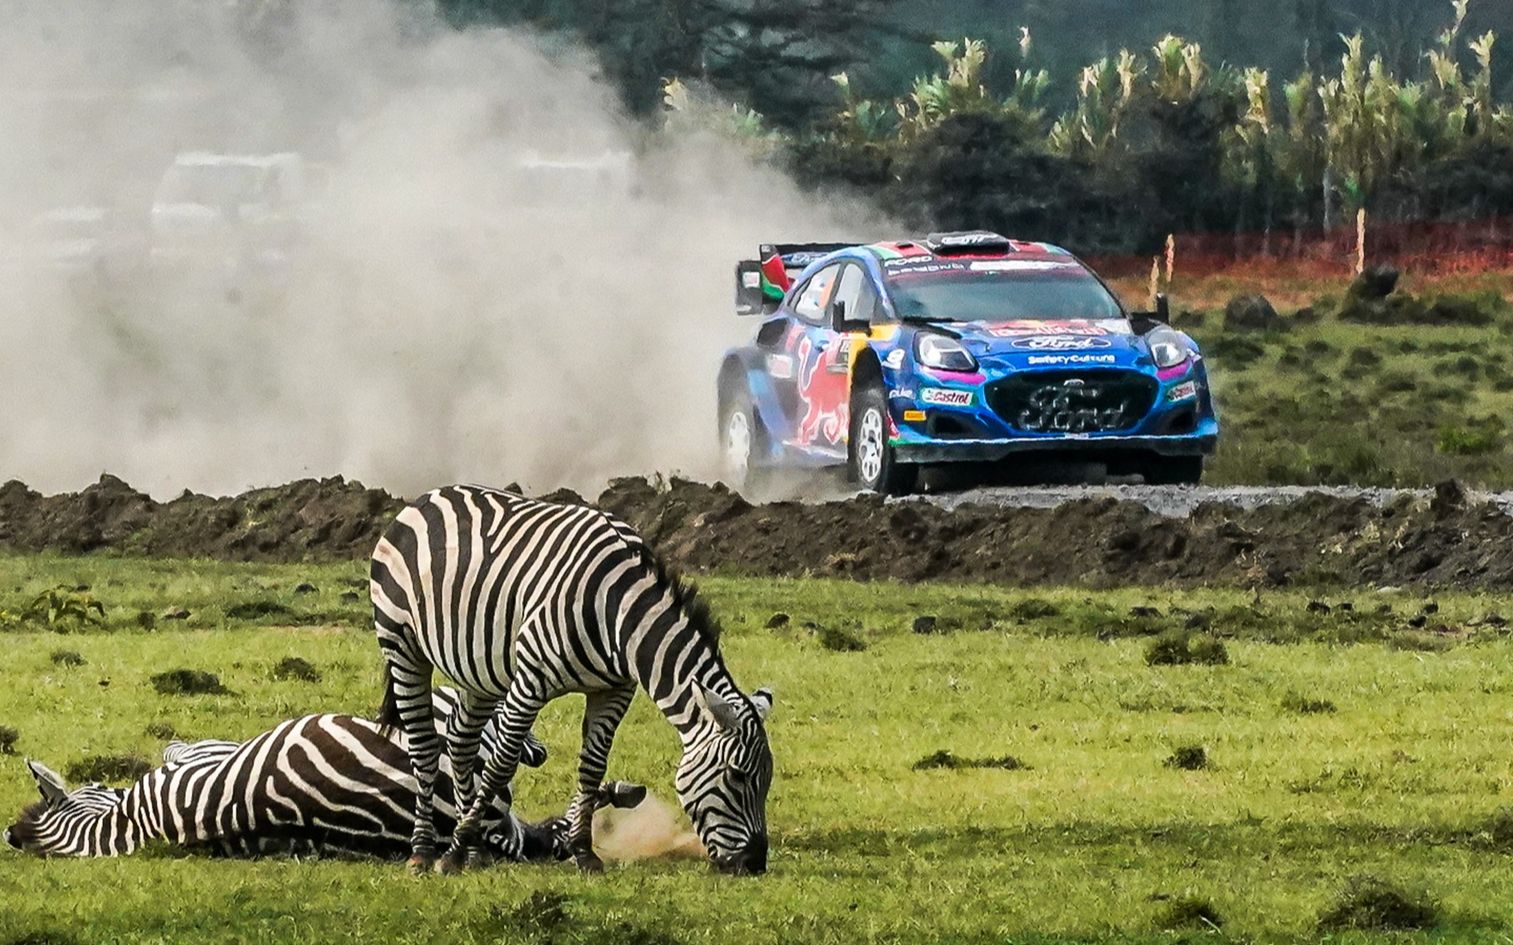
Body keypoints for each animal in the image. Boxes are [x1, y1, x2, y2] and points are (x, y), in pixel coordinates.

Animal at [370, 486, 774, 876]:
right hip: (401, 643)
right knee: (424, 746)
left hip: (480, 669)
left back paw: (475, 850)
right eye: (737, 777)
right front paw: (451, 853)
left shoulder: (614, 690)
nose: (754, 863)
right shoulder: (529, 680)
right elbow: (501, 763)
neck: (618, 612)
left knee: (459, 739)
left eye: (767, 780)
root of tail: (424, 499)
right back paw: (424, 850)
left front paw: (583, 852)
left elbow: (592, 767)